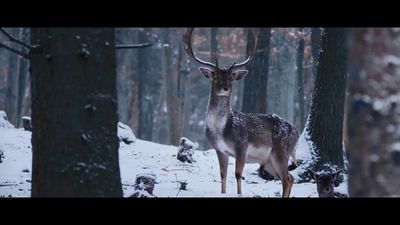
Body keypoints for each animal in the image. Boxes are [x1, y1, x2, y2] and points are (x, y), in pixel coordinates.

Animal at [183, 27, 298, 197]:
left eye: (231, 78)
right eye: (216, 77)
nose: (225, 87)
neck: (220, 130)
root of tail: (297, 131)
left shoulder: (241, 146)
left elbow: (238, 174)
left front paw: (239, 193)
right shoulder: (220, 149)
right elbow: (223, 174)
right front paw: (223, 193)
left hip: (281, 151)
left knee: (287, 179)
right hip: (269, 161)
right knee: (290, 178)